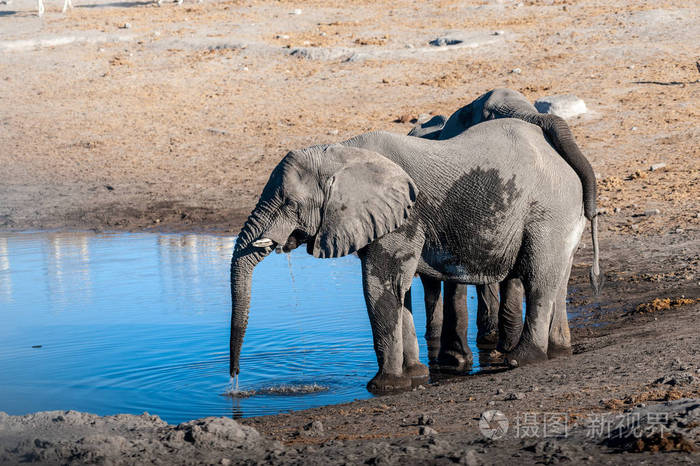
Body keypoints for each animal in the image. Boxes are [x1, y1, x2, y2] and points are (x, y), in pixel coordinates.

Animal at [230, 117, 600, 394]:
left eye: (288, 203)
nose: (233, 382)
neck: (344, 153)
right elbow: (399, 292)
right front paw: (417, 375)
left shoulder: (405, 218)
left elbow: (380, 286)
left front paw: (384, 387)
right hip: (562, 211)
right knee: (559, 279)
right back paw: (559, 350)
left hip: (548, 210)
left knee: (539, 278)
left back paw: (522, 359)